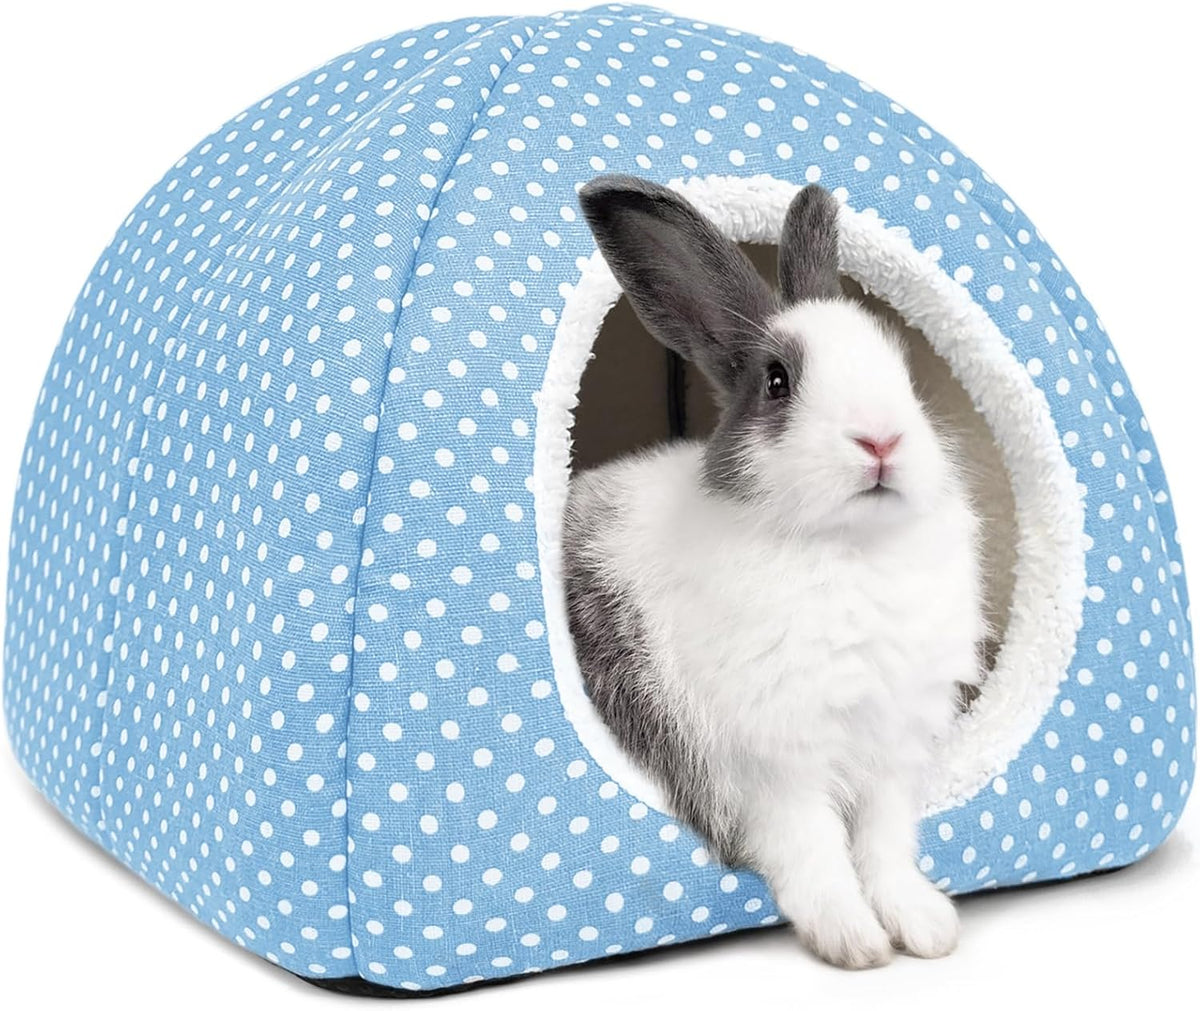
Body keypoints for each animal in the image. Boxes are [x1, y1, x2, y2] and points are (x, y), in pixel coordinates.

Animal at [564, 175, 987, 969]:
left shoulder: (891, 757)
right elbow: (814, 849)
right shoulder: (774, 766)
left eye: (903, 369)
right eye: (778, 382)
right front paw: (854, 942)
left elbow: (886, 846)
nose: (881, 440)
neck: (849, 548)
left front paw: (925, 928)